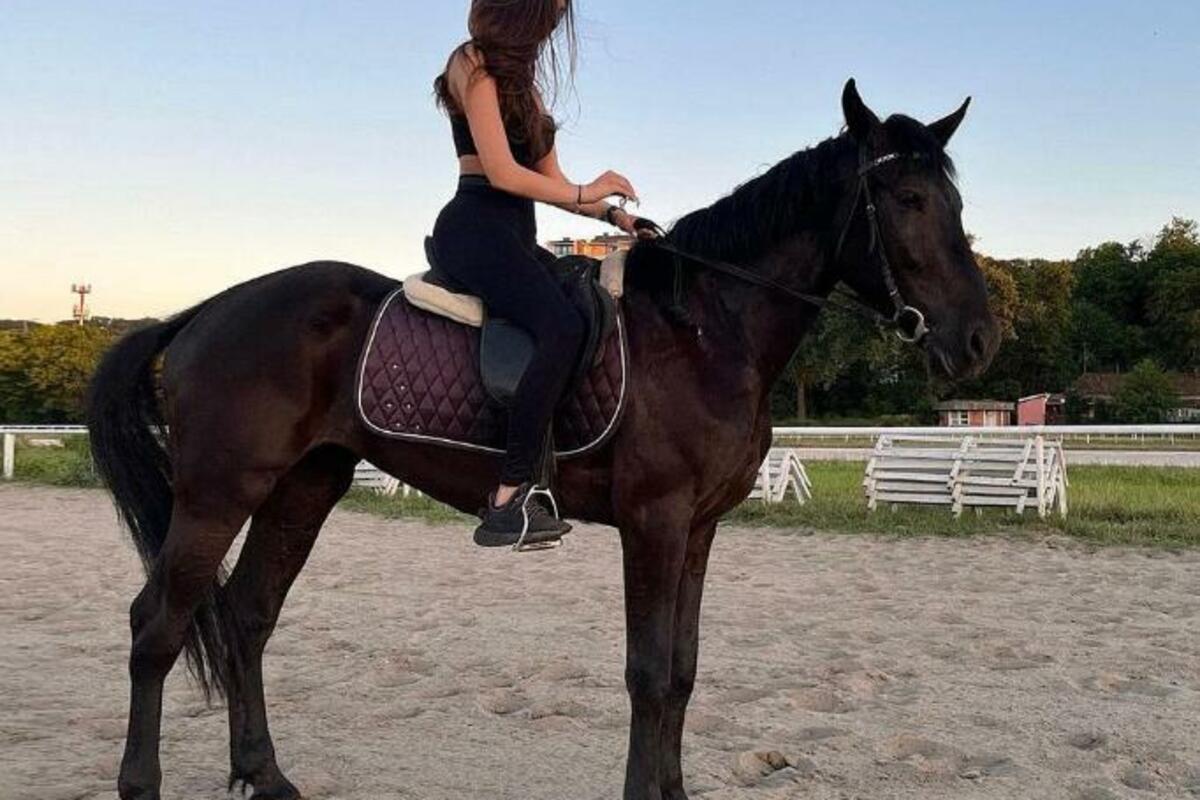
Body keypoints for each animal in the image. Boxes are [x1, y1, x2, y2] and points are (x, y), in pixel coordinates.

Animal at [87, 80, 999, 800]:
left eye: (956, 204)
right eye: (908, 202)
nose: (979, 341)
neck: (705, 327)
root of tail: (207, 309)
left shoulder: (700, 527)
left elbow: (683, 672)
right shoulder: (654, 521)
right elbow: (646, 675)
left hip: (304, 485)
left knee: (247, 616)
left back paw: (266, 776)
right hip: (218, 491)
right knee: (157, 625)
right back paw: (142, 782)